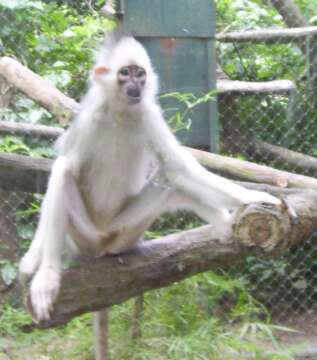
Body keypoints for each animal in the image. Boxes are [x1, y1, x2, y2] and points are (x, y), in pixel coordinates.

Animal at [18, 32, 278, 322]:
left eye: (140, 73)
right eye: (125, 72)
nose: (135, 84)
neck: (120, 112)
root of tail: (102, 244)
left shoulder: (149, 112)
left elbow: (178, 168)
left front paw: (252, 195)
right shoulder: (86, 122)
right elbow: (63, 168)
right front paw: (34, 264)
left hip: (125, 232)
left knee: (172, 182)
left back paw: (226, 227)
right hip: (84, 237)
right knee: (63, 170)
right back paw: (48, 276)